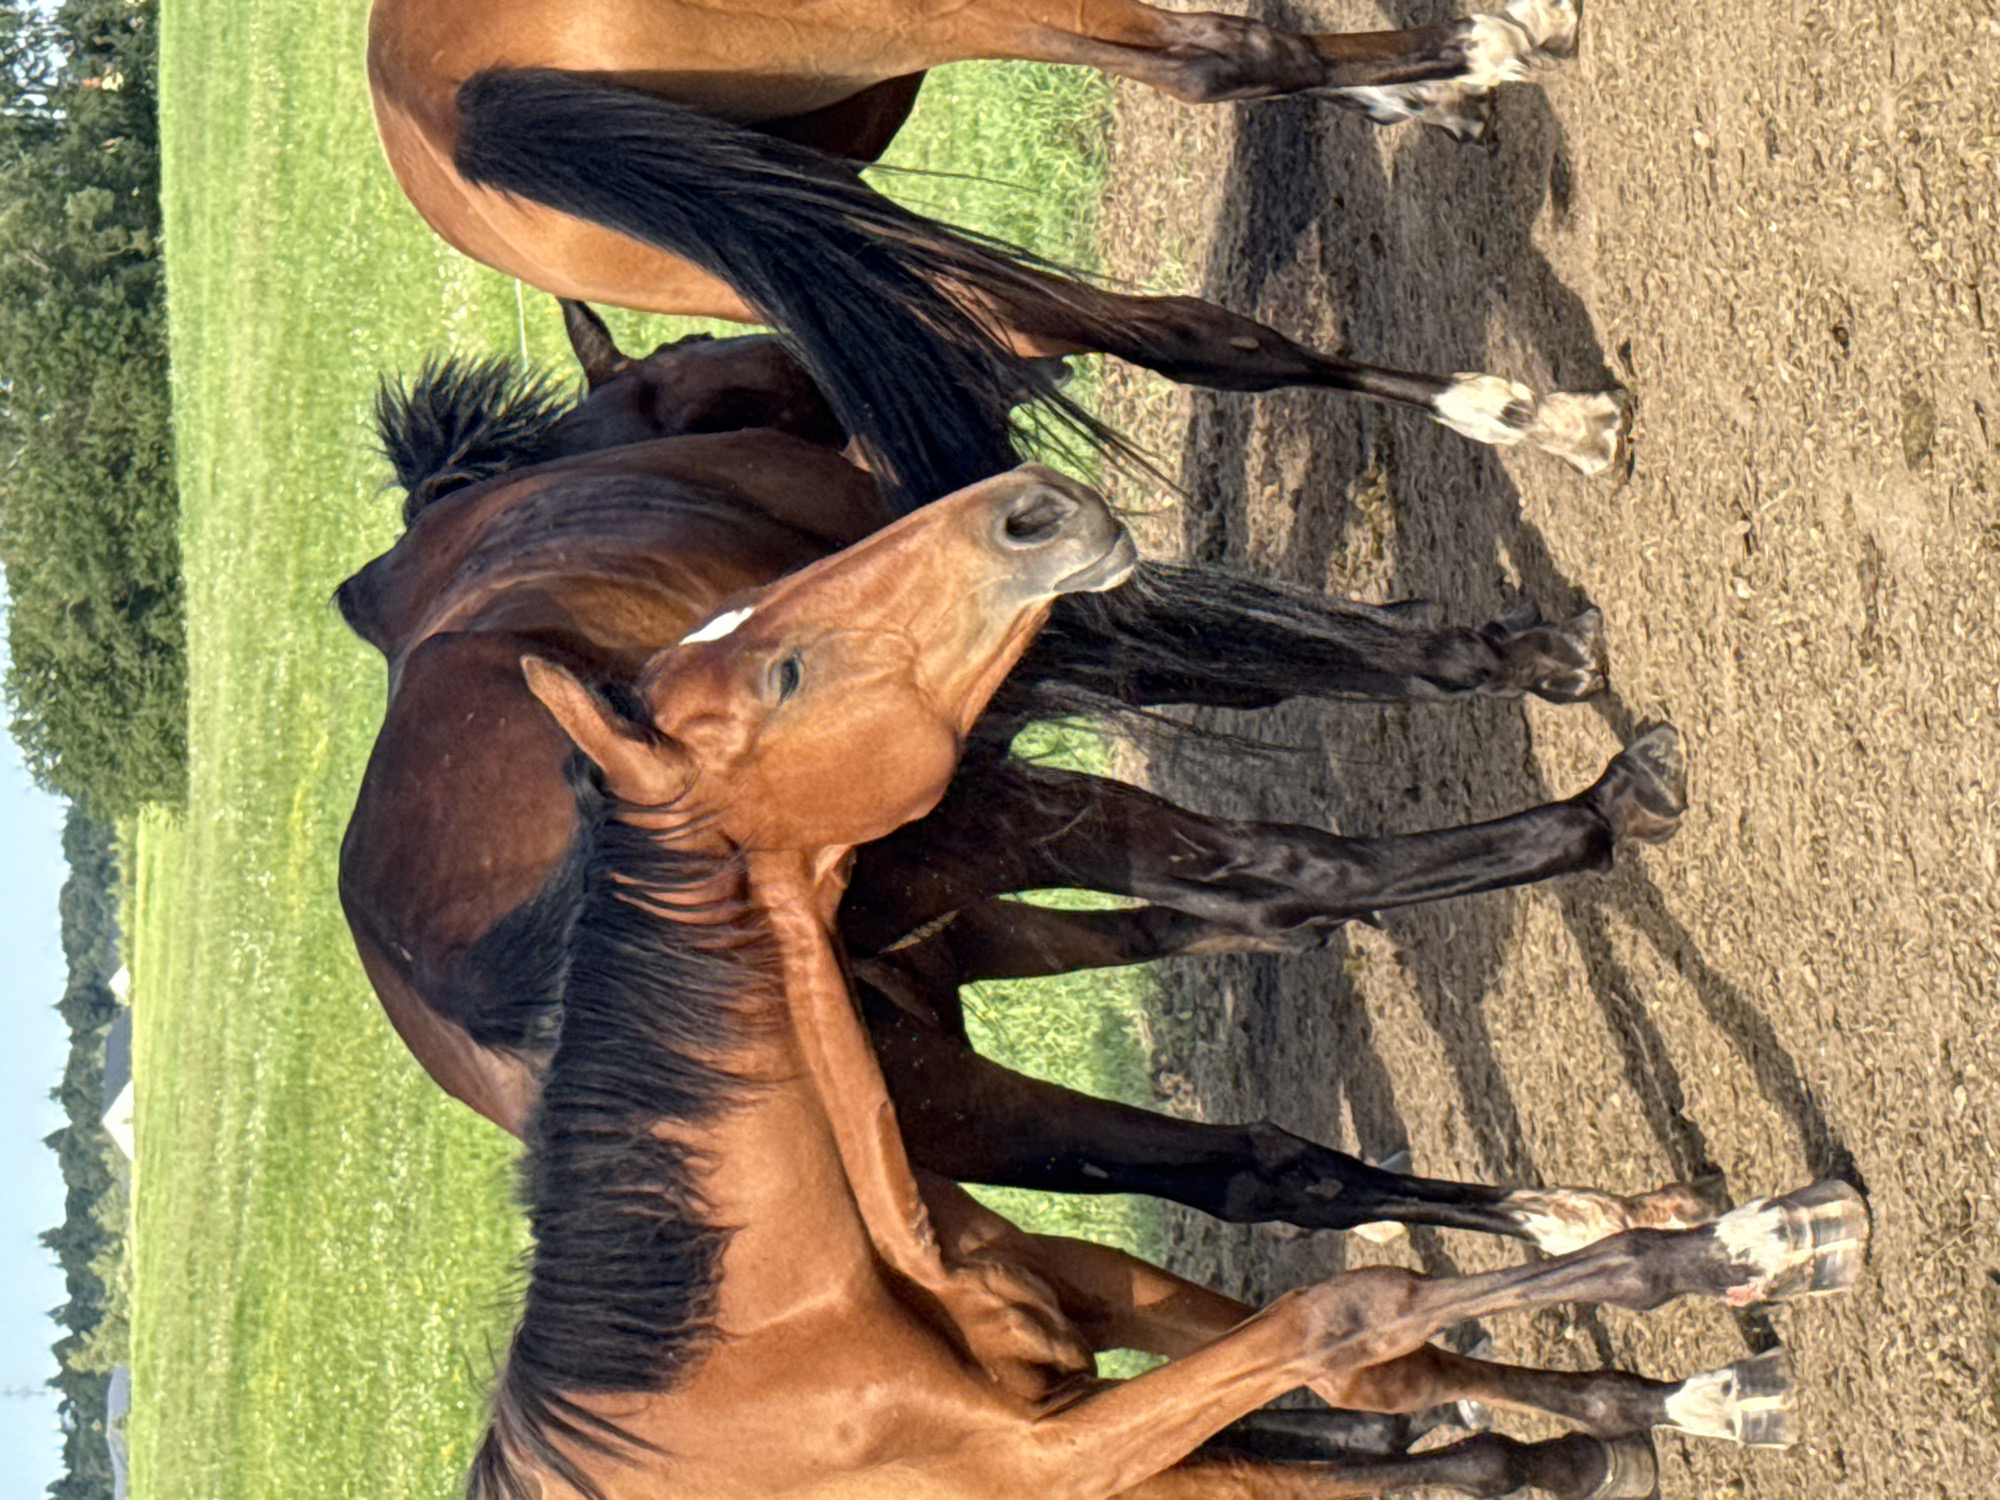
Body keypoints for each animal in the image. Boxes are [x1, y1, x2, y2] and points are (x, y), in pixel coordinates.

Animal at [338, 314, 1702, 1257]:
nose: (990, 381)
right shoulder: (1047, 648)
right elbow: (1292, 663)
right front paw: (1531, 658)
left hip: (945, 1092)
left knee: (1253, 1156)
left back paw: (1589, 1215)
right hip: (994, 842)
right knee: (1285, 875)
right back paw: (1601, 819)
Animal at [363, 0, 1624, 502]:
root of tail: (435, 99)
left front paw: (1423, 99)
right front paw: (1465, 67)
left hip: (802, 213)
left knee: (1179, 334)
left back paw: (1518, 411)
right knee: (1212, 65)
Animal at [463, 464, 1867, 1500]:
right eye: (783, 675)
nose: (1028, 503)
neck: (774, 1327)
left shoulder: (1096, 1310)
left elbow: (1382, 1365)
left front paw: (1661, 1394)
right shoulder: (1068, 1458)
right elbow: (1349, 1320)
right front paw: (1749, 1245)